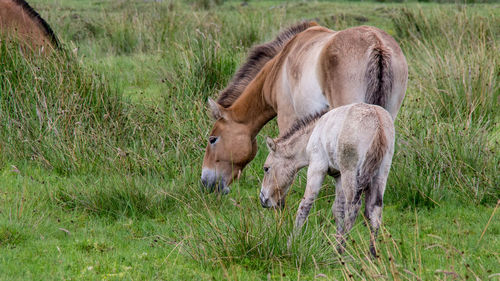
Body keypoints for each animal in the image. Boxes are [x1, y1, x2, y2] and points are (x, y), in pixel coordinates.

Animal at [262, 101, 394, 255]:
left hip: (350, 173)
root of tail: (377, 123)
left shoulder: (317, 167)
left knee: (353, 207)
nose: (263, 199)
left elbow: (305, 205)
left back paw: (341, 249)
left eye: (266, 168)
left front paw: (290, 244)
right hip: (381, 174)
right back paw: (371, 253)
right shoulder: (338, 176)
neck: (313, 132)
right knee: (375, 210)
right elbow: (338, 210)